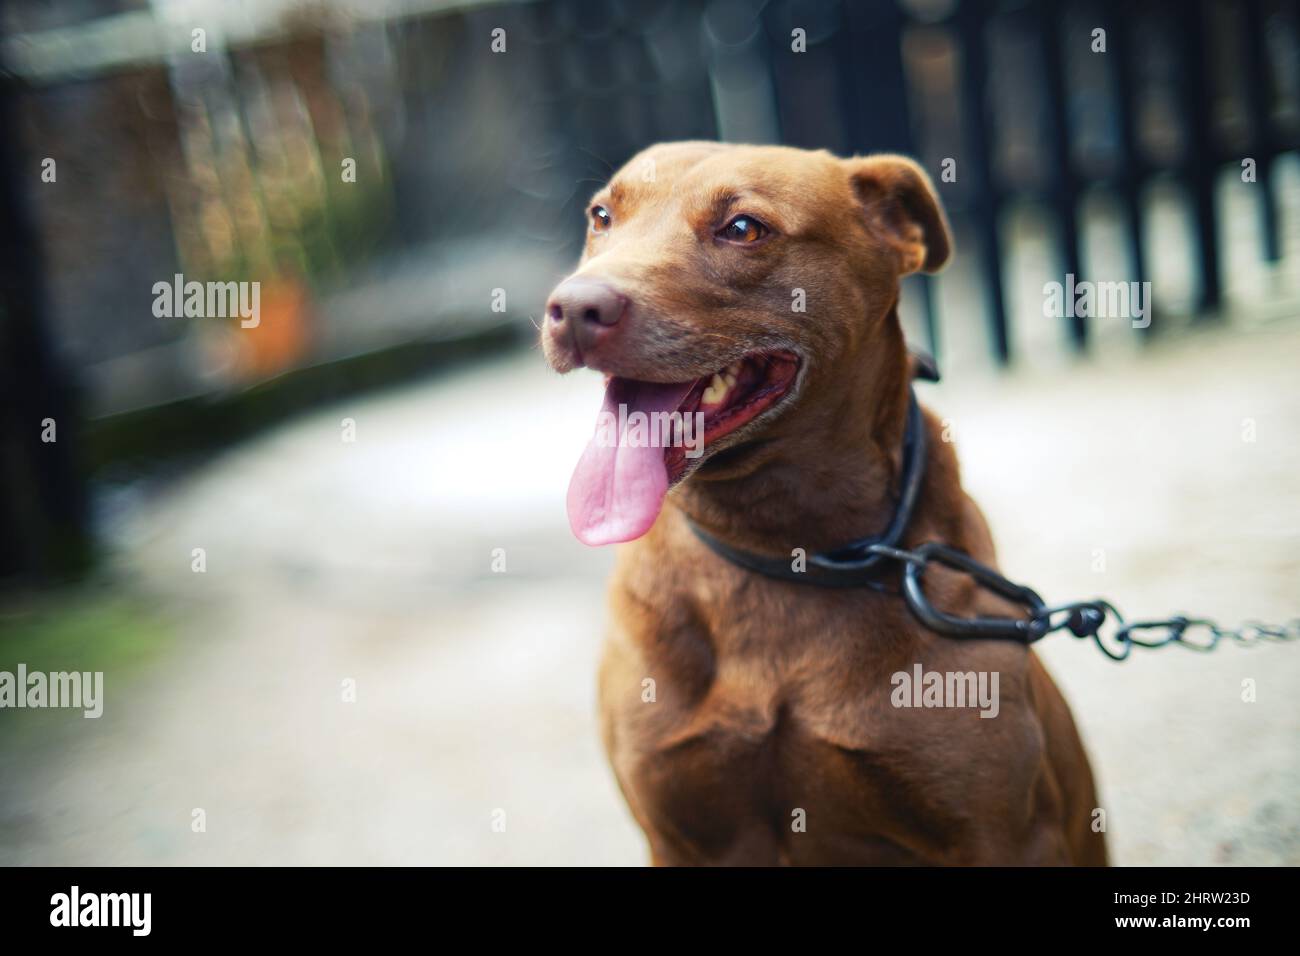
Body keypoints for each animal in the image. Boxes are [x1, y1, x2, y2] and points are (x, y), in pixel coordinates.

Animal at [543, 141, 1102, 868]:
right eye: (601, 217)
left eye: (743, 228)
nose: (574, 309)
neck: (782, 548)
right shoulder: (680, 835)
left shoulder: (1004, 836)